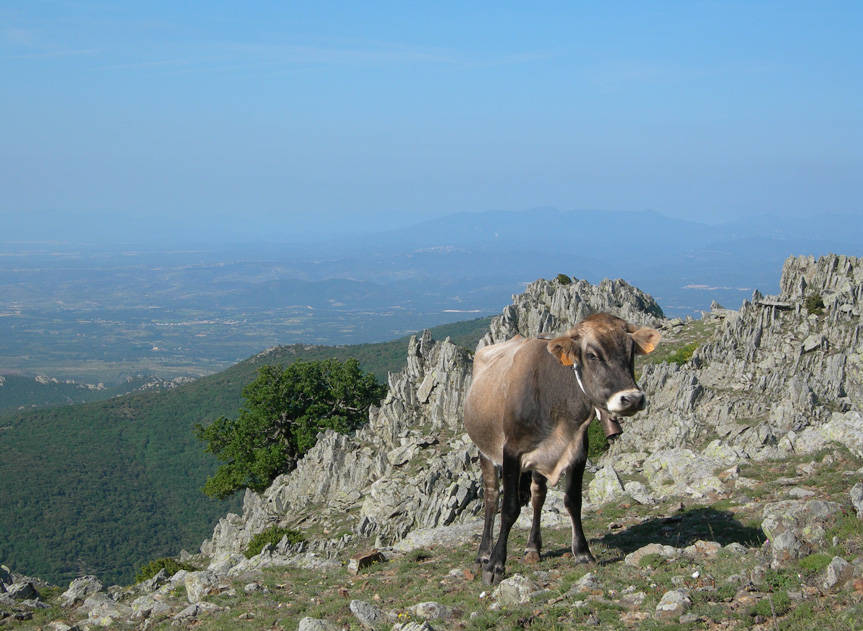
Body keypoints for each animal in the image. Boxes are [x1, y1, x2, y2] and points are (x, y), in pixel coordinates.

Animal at [466, 314, 660, 584]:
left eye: (631, 351)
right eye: (592, 355)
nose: (632, 399)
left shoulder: (578, 452)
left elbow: (573, 501)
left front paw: (583, 552)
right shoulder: (511, 452)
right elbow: (510, 508)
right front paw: (495, 565)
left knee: (538, 495)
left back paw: (533, 548)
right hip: (485, 450)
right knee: (492, 497)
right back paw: (483, 554)